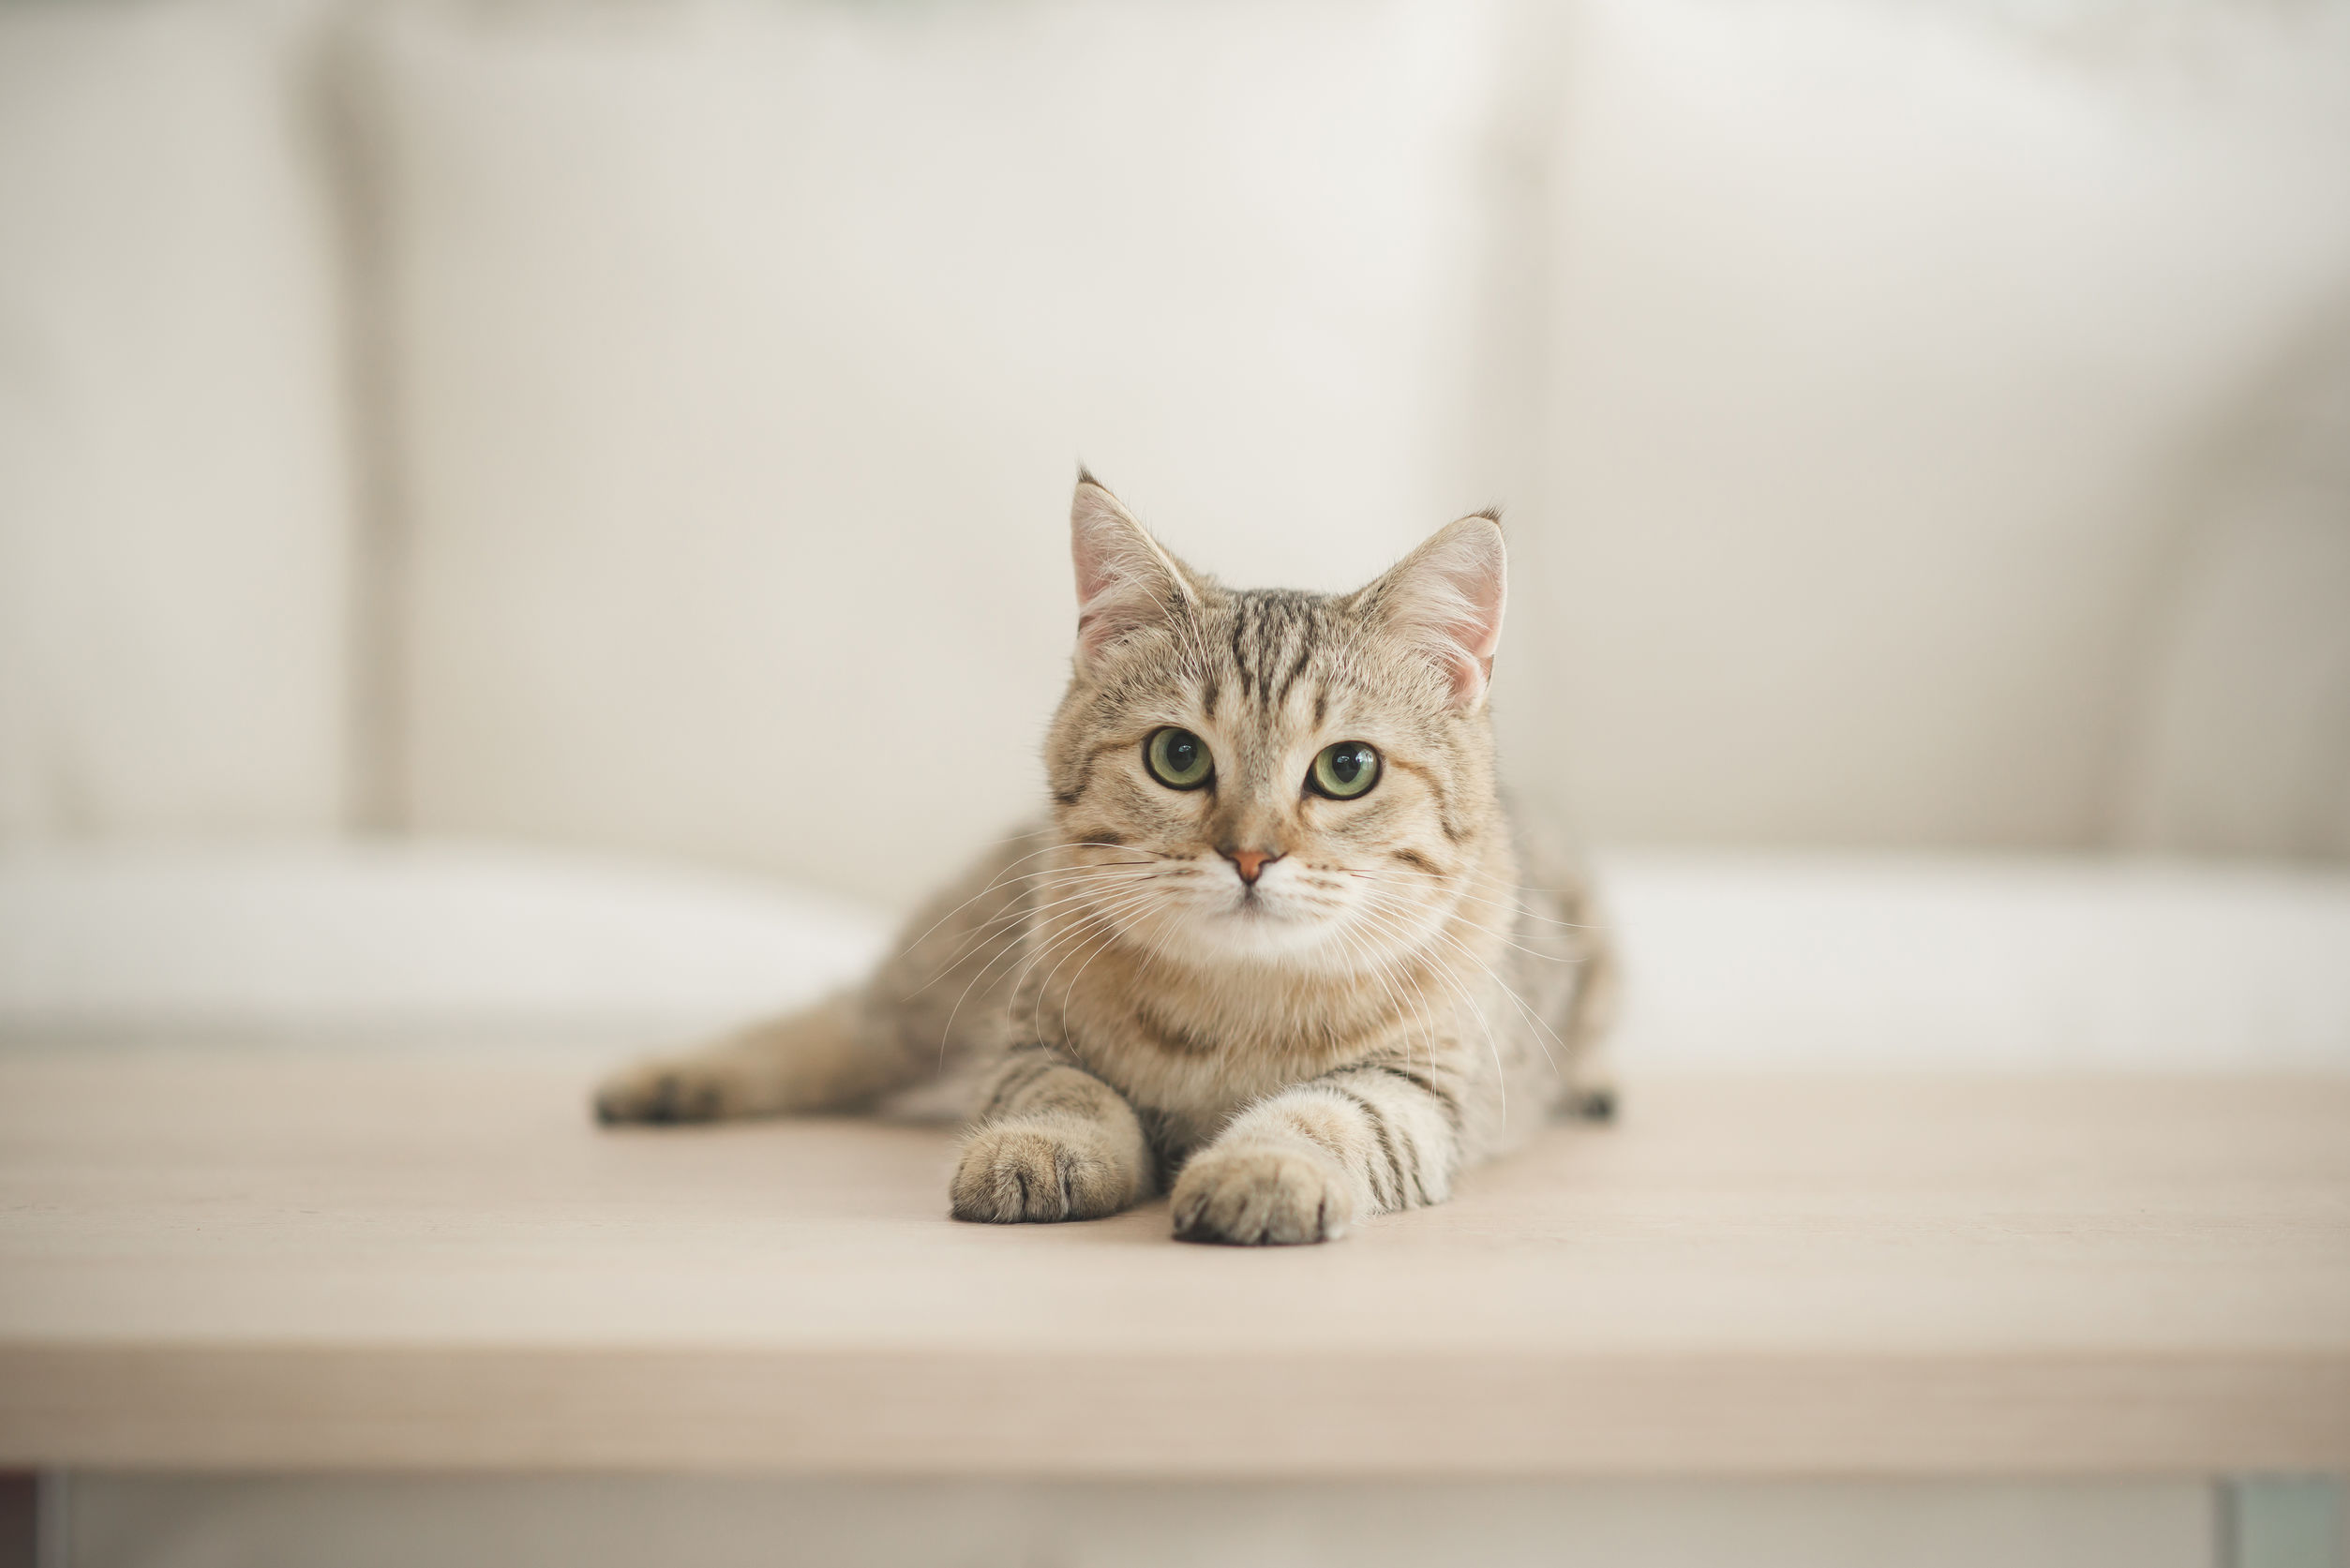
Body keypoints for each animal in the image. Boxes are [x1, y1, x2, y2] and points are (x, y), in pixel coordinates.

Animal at [587, 472, 1616, 1241]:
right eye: (1178, 756)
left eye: (1347, 768)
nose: (1249, 855)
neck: (1236, 1006)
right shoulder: (1029, 1036)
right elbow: (1067, 1093)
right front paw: (1040, 1144)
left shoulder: (1424, 1087)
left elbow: (1329, 1111)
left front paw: (1264, 1163)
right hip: (938, 975)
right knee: (837, 1025)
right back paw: (668, 1079)